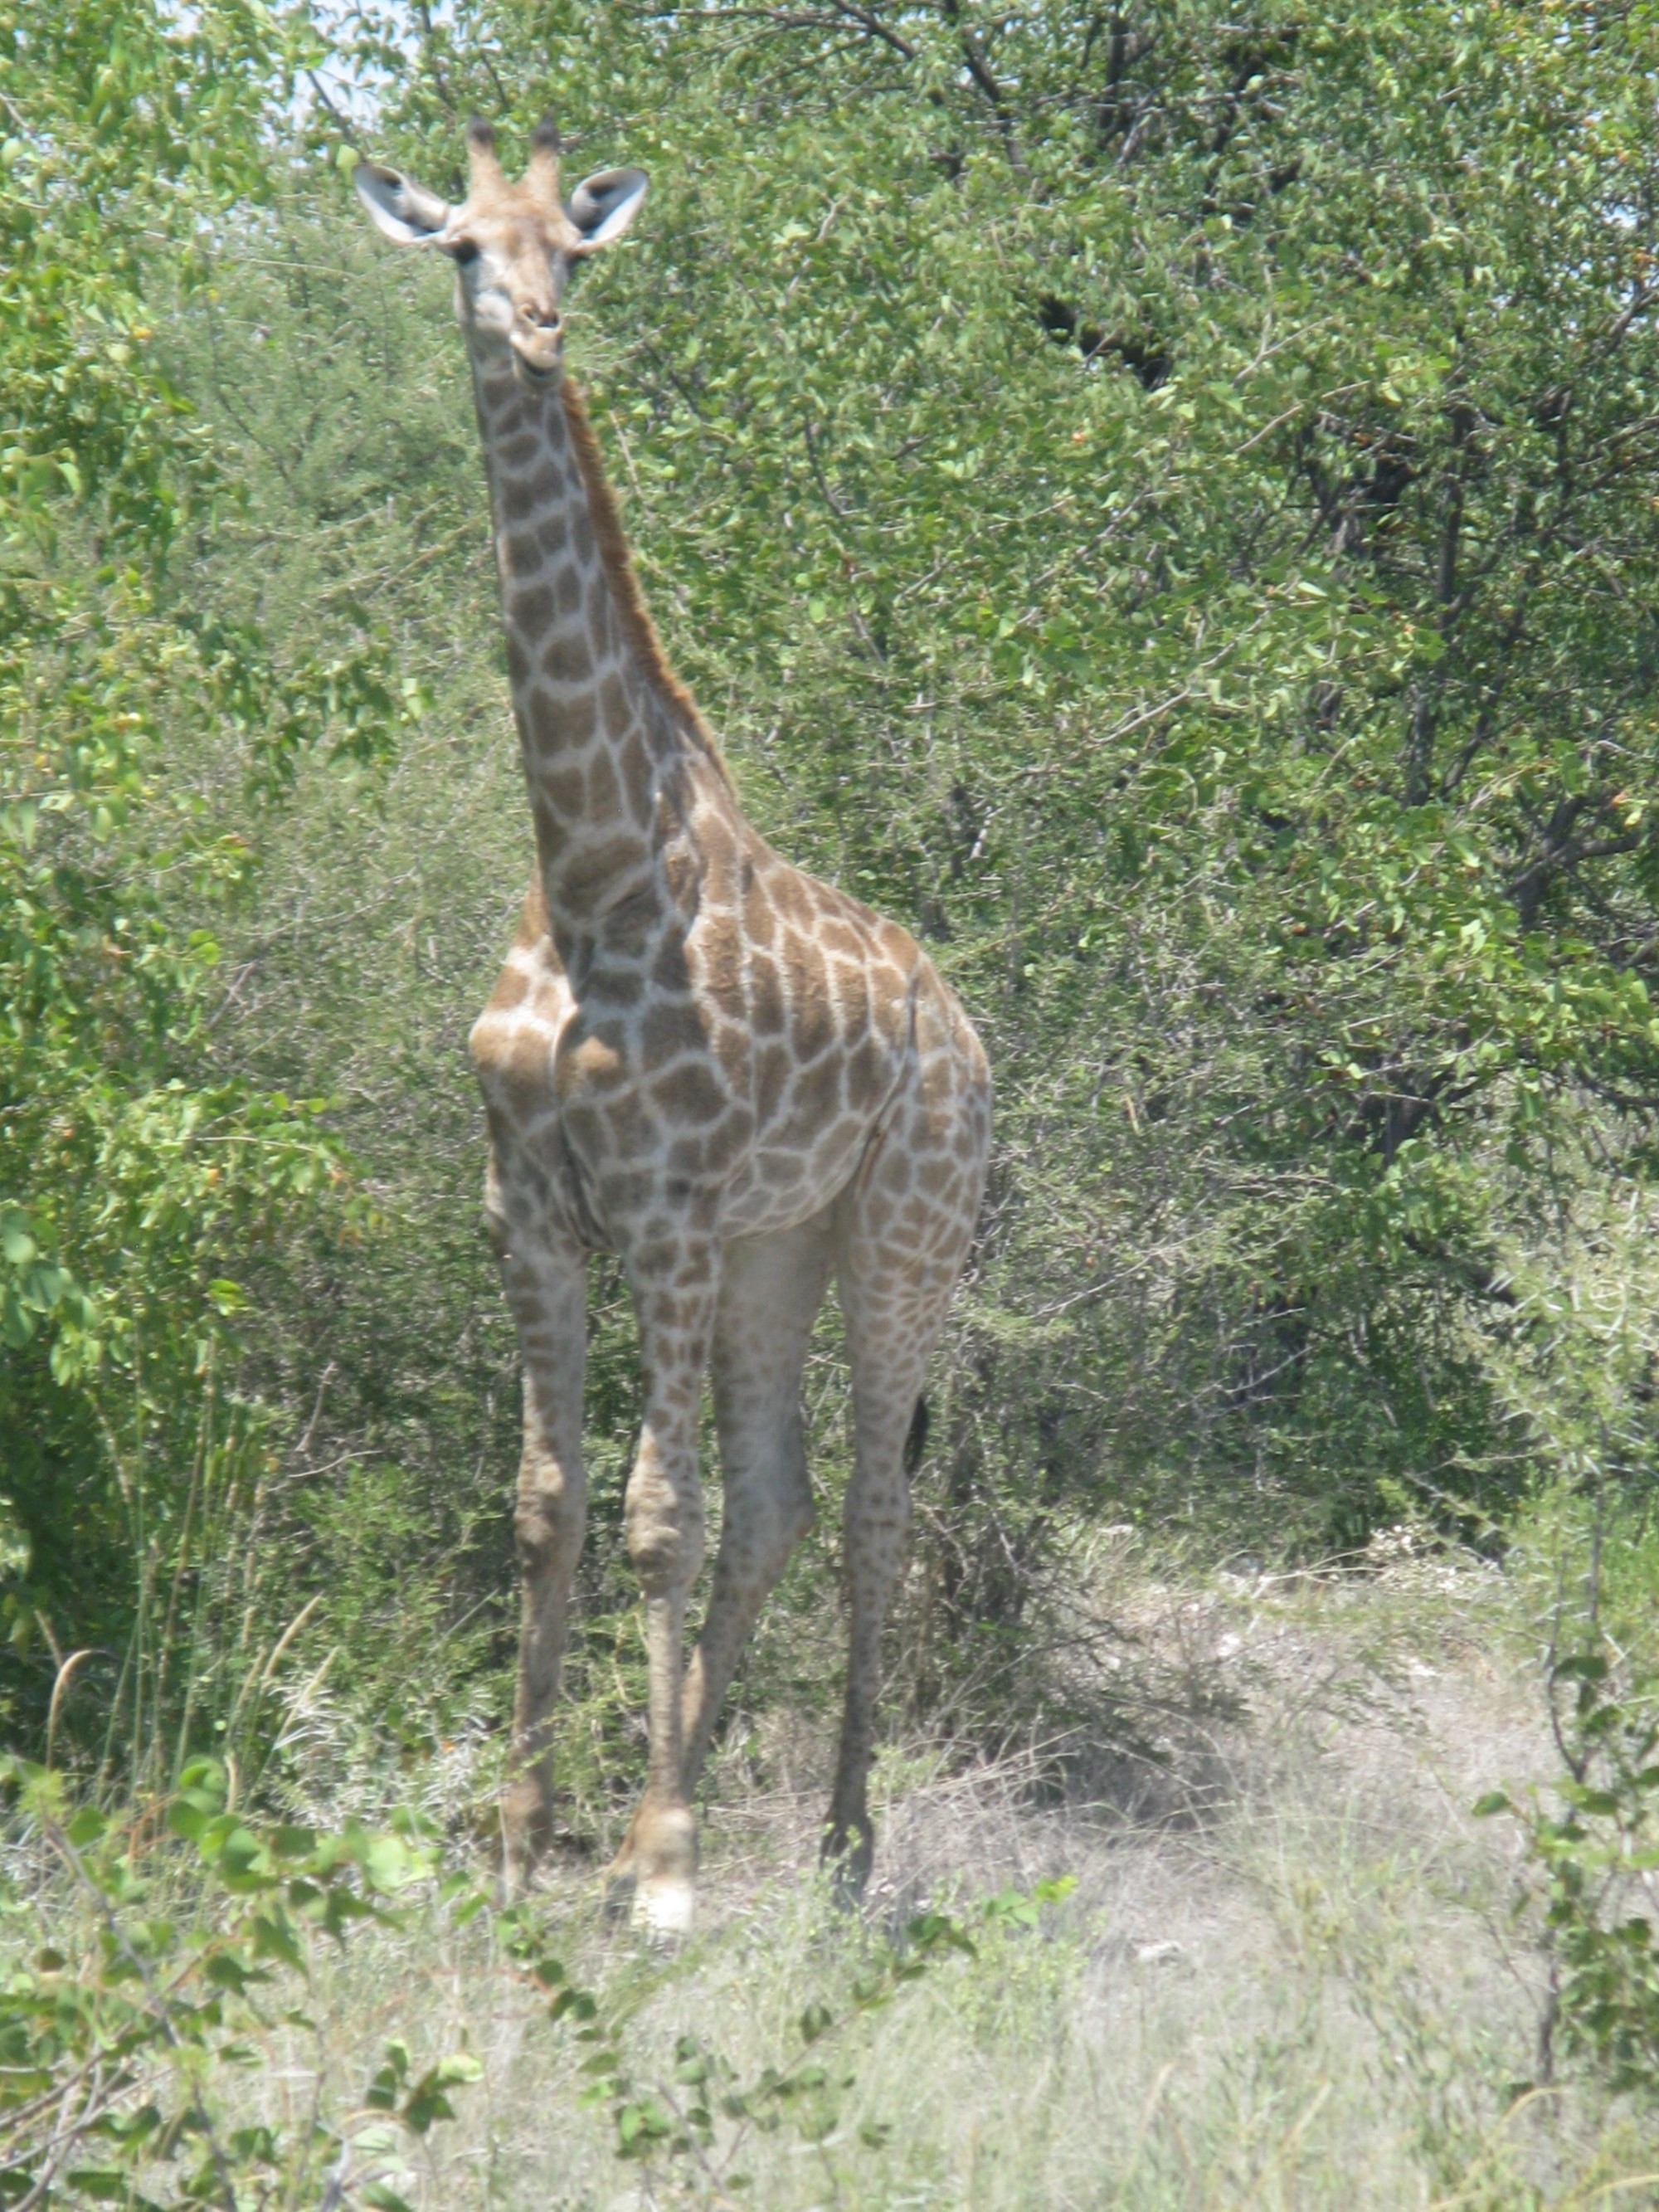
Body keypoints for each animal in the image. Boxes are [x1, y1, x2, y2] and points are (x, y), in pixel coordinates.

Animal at [358, 112, 995, 1928]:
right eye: (458, 245)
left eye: (568, 250)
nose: (533, 332)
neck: (582, 876)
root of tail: (970, 1036)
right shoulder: (526, 1207)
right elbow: (545, 1503)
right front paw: (524, 1831)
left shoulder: (663, 1218)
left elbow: (656, 1514)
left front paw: (651, 1867)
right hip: (785, 1246)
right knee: (783, 1499)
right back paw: (704, 1794)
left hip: (904, 1235)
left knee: (865, 1509)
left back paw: (837, 1844)